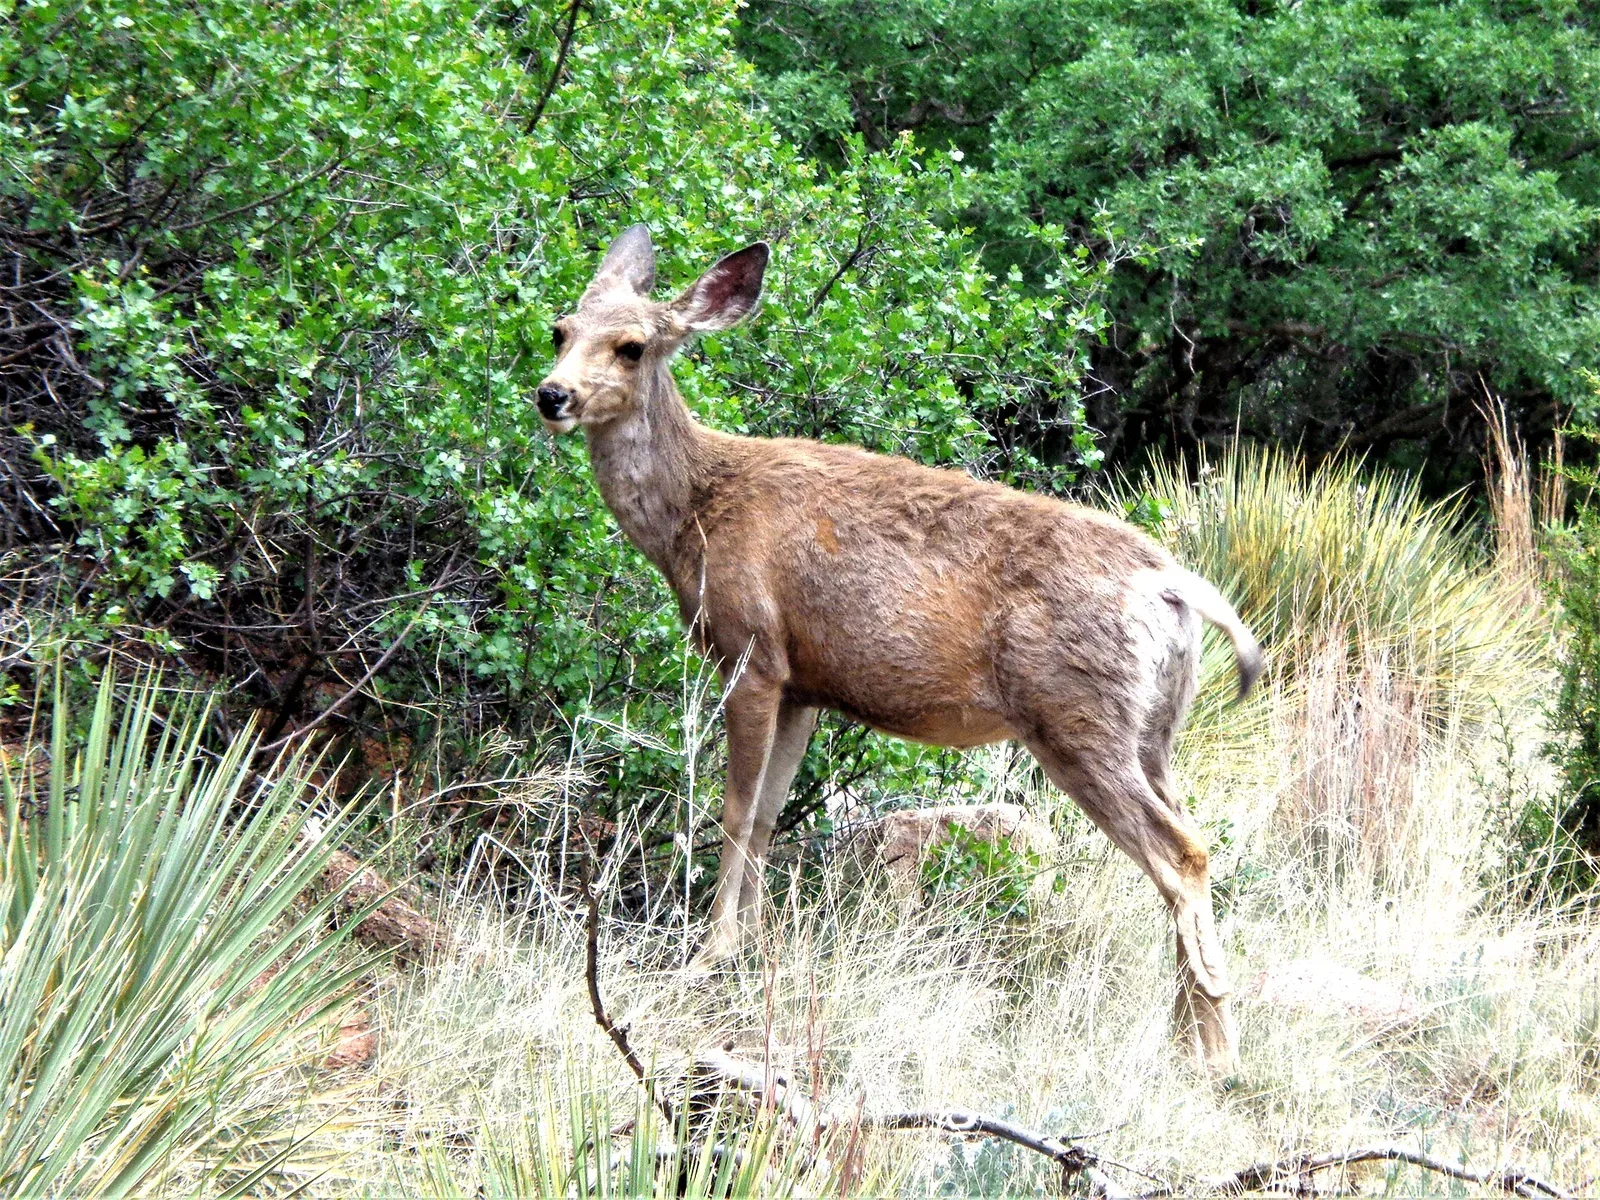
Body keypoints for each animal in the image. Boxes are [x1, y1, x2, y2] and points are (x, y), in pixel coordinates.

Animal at [535, 225, 1263, 1074]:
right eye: (560, 330)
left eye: (632, 347)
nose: (552, 395)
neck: (696, 513)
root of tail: (1175, 586)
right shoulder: (804, 685)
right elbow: (769, 816)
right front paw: (752, 949)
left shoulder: (753, 653)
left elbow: (734, 811)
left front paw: (707, 957)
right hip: (1154, 731)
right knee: (1187, 843)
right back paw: (1190, 1034)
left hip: (1076, 716)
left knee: (1184, 857)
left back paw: (1216, 1049)